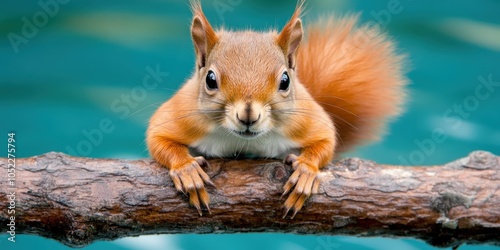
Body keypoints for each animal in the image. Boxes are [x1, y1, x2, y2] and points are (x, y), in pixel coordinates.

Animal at [145, 0, 406, 218]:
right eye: (210, 80)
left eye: (285, 81)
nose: (248, 115)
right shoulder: (182, 114)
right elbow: (158, 139)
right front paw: (186, 170)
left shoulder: (308, 120)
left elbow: (326, 141)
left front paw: (306, 172)